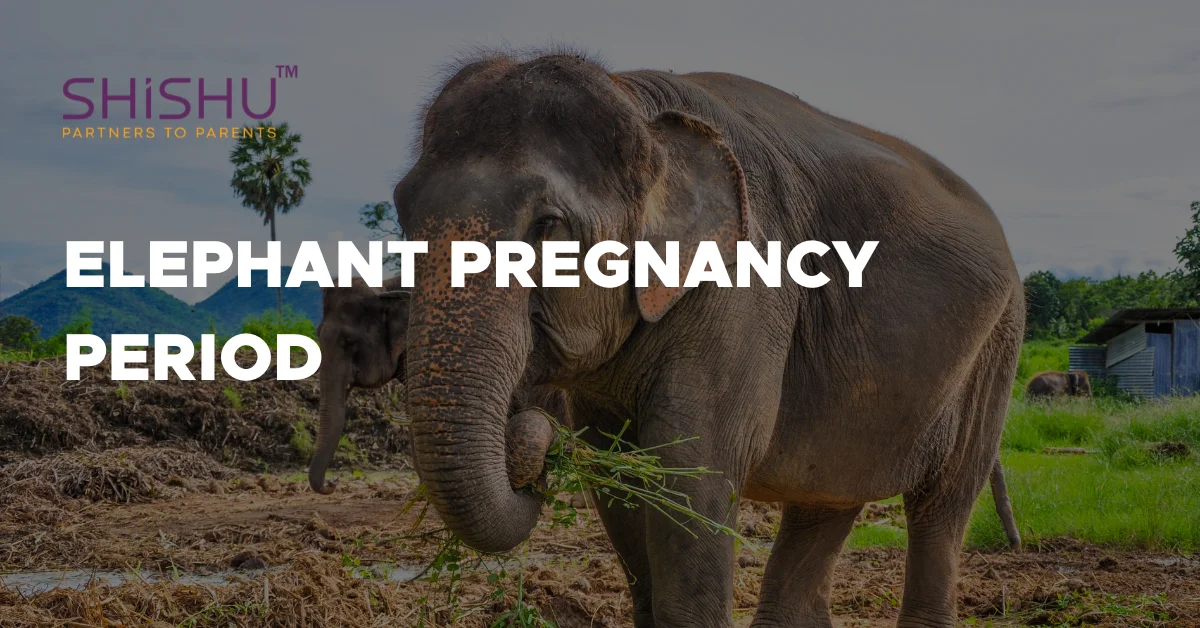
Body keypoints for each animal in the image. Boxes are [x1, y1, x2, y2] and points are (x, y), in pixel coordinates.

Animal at [315, 50, 1026, 627]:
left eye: (547, 225)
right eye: (404, 212)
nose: (530, 437)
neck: (638, 104)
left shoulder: (746, 287)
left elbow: (690, 470)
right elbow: (617, 474)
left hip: (998, 344)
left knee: (942, 503)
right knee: (827, 498)